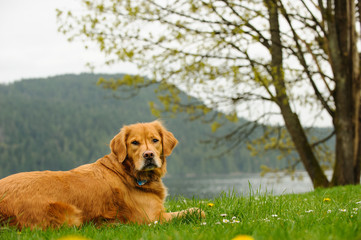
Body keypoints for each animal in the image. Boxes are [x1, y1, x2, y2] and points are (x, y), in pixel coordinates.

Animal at [0, 121, 202, 230]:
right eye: (134, 143)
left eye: (155, 140)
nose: (148, 155)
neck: (128, 172)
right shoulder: (152, 218)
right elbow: (196, 210)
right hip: (70, 215)